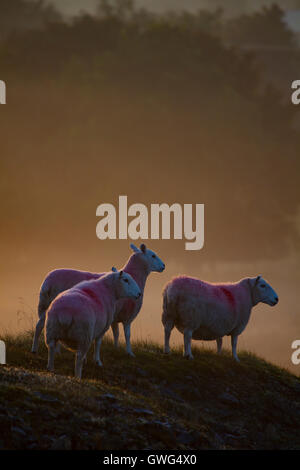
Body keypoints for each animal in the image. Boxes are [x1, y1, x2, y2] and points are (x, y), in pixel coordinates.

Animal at [31, 242, 165, 356]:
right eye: (153, 255)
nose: (163, 266)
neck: (135, 276)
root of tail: (47, 282)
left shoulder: (114, 317)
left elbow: (116, 333)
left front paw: (116, 348)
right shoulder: (127, 316)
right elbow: (127, 335)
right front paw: (129, 352)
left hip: (45, 305)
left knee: (39, 326)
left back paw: (35, 349)